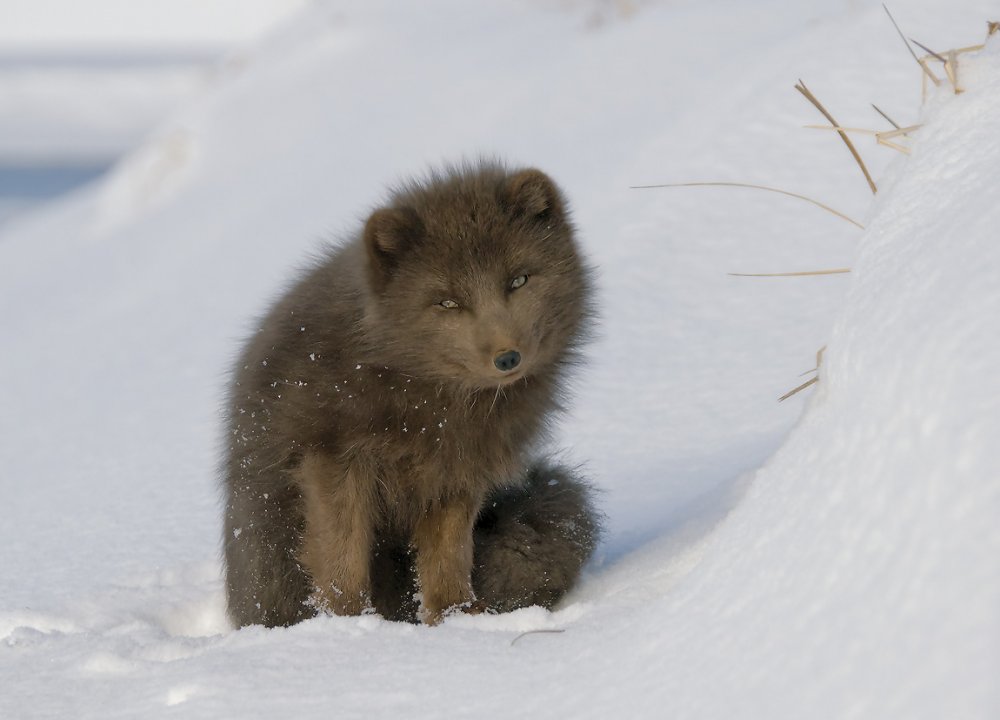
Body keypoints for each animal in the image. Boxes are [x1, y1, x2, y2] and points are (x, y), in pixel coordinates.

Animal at [225, 162, 600, 624]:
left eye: (519, 280)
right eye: (448, 303)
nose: (507, 358)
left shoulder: (456, 471)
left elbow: (447, 555)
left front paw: (455, 616)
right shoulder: (333, 456)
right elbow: (341, 555)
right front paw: (347, 623)